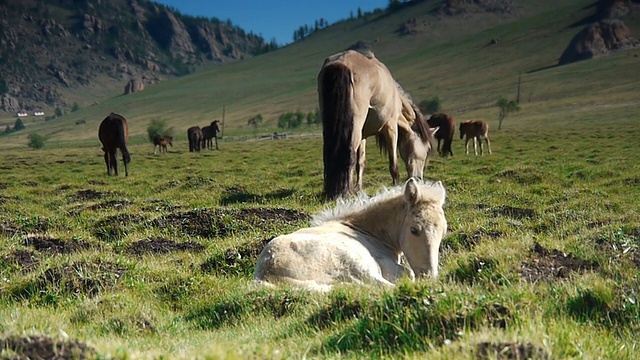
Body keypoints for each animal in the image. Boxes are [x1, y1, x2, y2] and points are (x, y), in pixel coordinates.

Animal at [252, 179, 448, 292]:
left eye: (443, 231)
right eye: (414, 230)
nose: (429, 276)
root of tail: (266, 273)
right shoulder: (385, 264)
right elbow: (407, 273)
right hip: (354, 262)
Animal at [318, 49, 438, 200]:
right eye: (427, 149)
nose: (418, 179)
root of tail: (342, 62)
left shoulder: (363, 135)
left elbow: (361, 162)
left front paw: (359, 189)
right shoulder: (391, 128)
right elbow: (393, 162)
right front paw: (395, 187)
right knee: (349, 154)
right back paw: (346, 192)